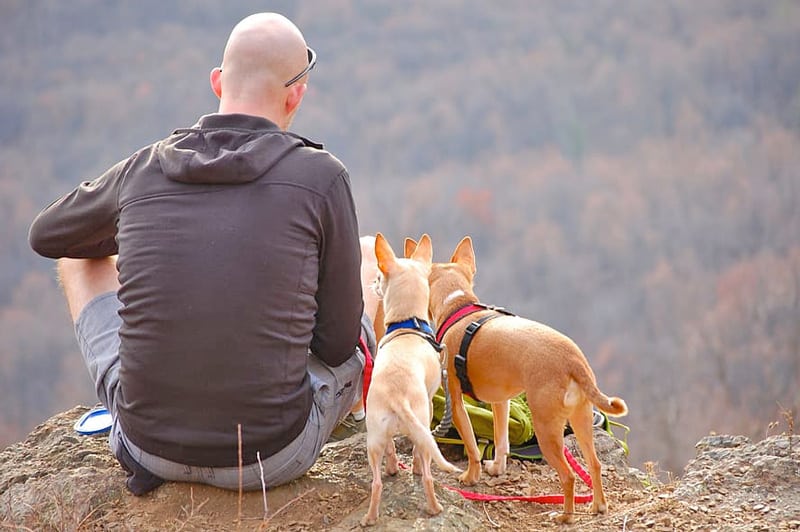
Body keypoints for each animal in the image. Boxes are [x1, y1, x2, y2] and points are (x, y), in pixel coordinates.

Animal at [360, 234, 460, 528]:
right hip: (421, 425)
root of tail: (397, 396)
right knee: (426, 472)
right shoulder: (430, 402)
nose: (372, 284)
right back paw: (435, 508)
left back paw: (371, 516)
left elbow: (395, 451)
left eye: (379, 277)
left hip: (374, 438)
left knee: (378, 481)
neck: (408, 324)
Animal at [428, 236, 628, 524]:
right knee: (595, 463)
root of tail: (573, 361)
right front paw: (496, 468)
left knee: (568, 476)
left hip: (546, 429)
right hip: (581, 420)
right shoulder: (500, 402)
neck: (459, 307)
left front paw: (470, 476)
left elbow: (472, 447)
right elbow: (501, 440)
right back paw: (597, 506)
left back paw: (565, 516)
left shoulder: (455, 402)